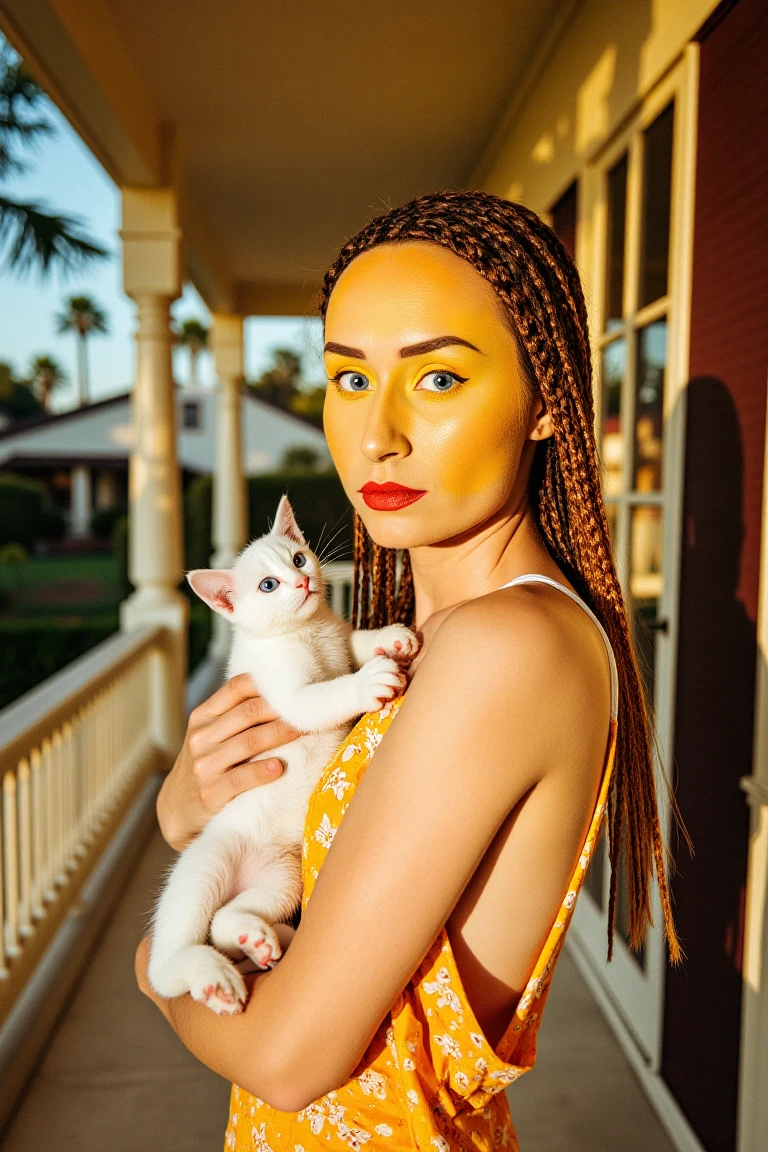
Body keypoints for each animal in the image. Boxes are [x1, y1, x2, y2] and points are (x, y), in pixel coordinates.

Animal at [146, 495, 416, 1018]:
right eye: (267, 585)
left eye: (297, 558)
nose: (303, 582)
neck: (307, 631)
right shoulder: (283, 693)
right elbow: (322, 696)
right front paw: (366, 682)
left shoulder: (336, 637)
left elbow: (352, 642)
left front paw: (388, 637)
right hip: (205, 866)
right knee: (167, 964)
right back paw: (210, 977)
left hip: (282, 878)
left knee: (226, 919)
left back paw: (254, 937)